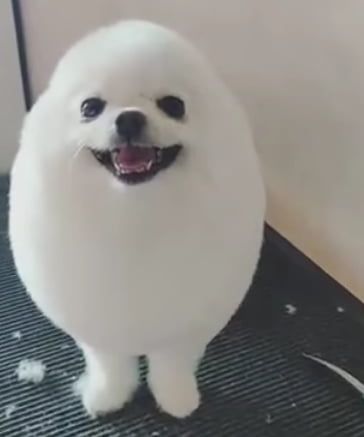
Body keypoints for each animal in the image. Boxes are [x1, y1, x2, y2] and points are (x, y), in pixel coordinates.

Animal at [8, 22, 264, 418]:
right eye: (90, 107)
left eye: (174, 105)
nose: (129, 117)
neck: (134, 215)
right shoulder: (99, 318)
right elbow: (109, 364)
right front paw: (108, 397)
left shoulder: (186, 323)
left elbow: (173, 364)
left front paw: (176, 400)